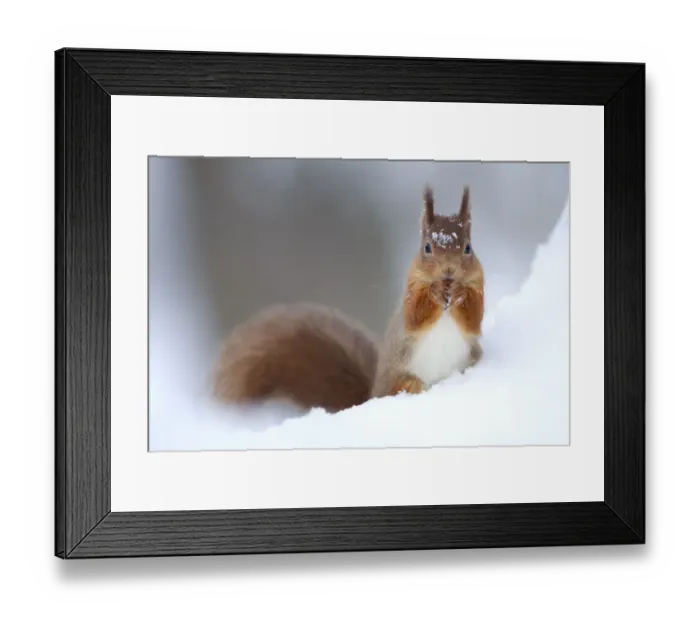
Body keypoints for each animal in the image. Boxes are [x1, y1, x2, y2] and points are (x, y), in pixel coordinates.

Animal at [212, 185, 484, 413]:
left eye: (468, 248)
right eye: (427, 247)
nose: (448, 271)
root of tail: (371, 395)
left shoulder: (479, 285)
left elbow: (474, 317)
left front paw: (459, 293)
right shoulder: (410, 293)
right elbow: (415, 314)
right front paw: (436, 291)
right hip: (401, 378)